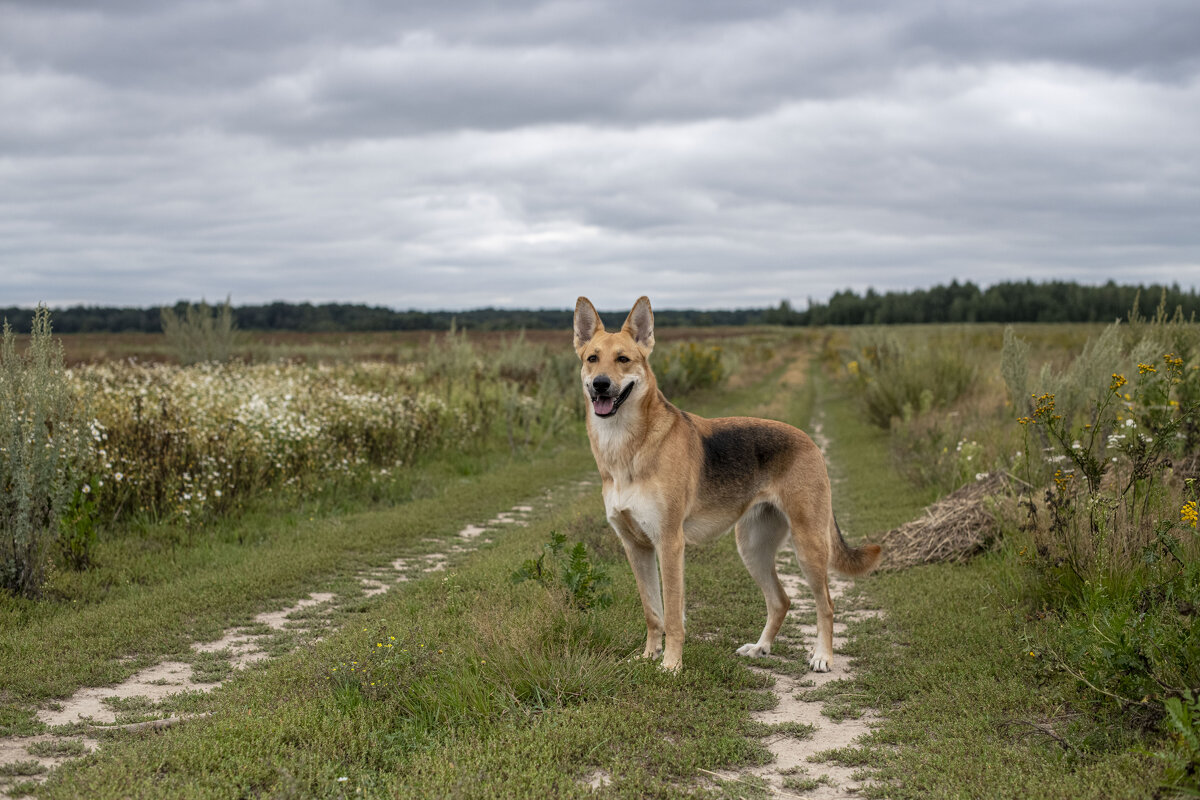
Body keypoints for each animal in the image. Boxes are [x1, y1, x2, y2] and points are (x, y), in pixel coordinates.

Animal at [571, 297, 883, 671]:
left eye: (623, 359)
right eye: (592, 358)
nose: (601, 384)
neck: (627, 447)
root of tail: (810, 441)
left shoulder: (669, 544)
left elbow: (672, 615)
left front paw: (671, 665)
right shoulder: (637, 547)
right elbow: (652, 612)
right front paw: (649, 656)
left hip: (808, 546)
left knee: (826, 604)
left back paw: (823, 656)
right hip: (752, 548)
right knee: (781, 600)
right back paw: (761, 648)